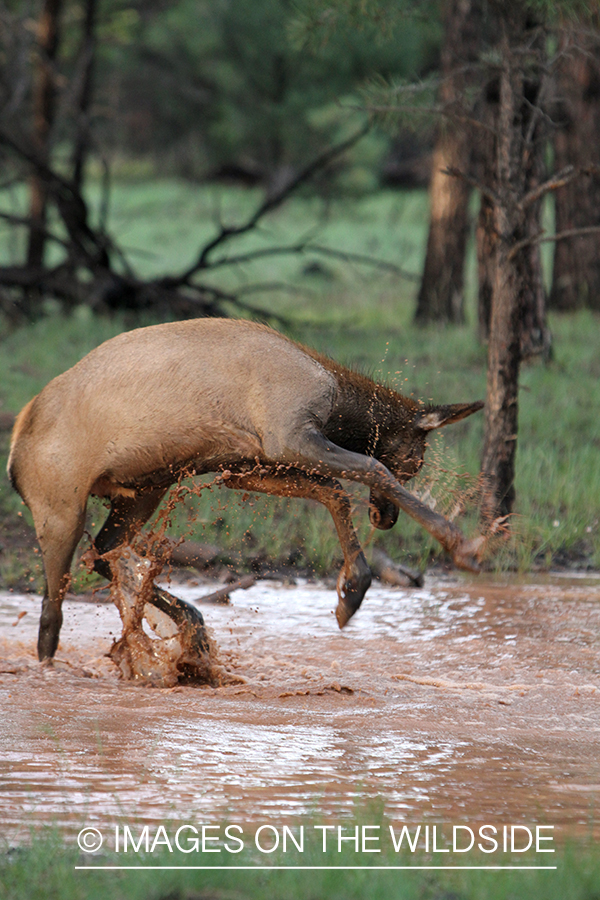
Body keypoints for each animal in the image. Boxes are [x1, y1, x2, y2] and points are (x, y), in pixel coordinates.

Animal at [8, 316, 482, 660]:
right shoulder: (288, 436)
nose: (384, 519)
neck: (340, 408)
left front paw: (352, 590)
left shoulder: (242, 465)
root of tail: (14, 451)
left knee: (102, 553)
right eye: (414, 463)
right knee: (52, 609)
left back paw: (188, 628)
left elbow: (333, 491)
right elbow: (369, 468)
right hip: (60, 507)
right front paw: (461, 544)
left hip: (145, 489)